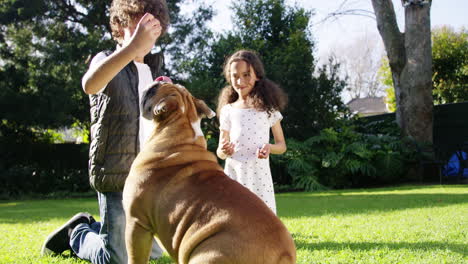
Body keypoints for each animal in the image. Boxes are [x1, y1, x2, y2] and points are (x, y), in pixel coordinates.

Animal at [121, 81, 296, 262]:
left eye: (155, 91)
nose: (158, 81)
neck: (179, 136)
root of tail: (284, 256)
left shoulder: (136, 222)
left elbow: (135, 258)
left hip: (209, 254)